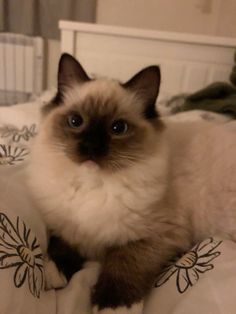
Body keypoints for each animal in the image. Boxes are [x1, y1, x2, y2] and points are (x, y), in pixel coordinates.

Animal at [28, 54, 236, 314]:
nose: (91, 147)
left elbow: (124, 263)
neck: (94, 185)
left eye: (118, 128)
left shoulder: (158, 235)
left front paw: (113, 307)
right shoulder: (67, 224)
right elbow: (63, 243)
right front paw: (52, 273)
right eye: (75, 121)